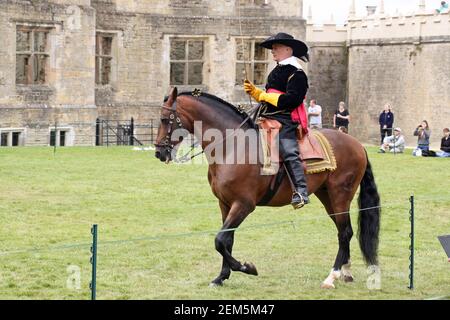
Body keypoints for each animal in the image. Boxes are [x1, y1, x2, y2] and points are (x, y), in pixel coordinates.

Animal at [154, 88, 380, 290]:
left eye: (165, 119)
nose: (158, 152)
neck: (232, 146)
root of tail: (357, 144)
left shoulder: (244, 204)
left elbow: (220, 240)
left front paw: (246, 267)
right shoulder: (225, 204)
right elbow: (227, 240)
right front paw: (221, 277)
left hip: (340, 195)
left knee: (345, 232)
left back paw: (332, 276)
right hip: (327, 197)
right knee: (344, 232)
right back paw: (345, 272)